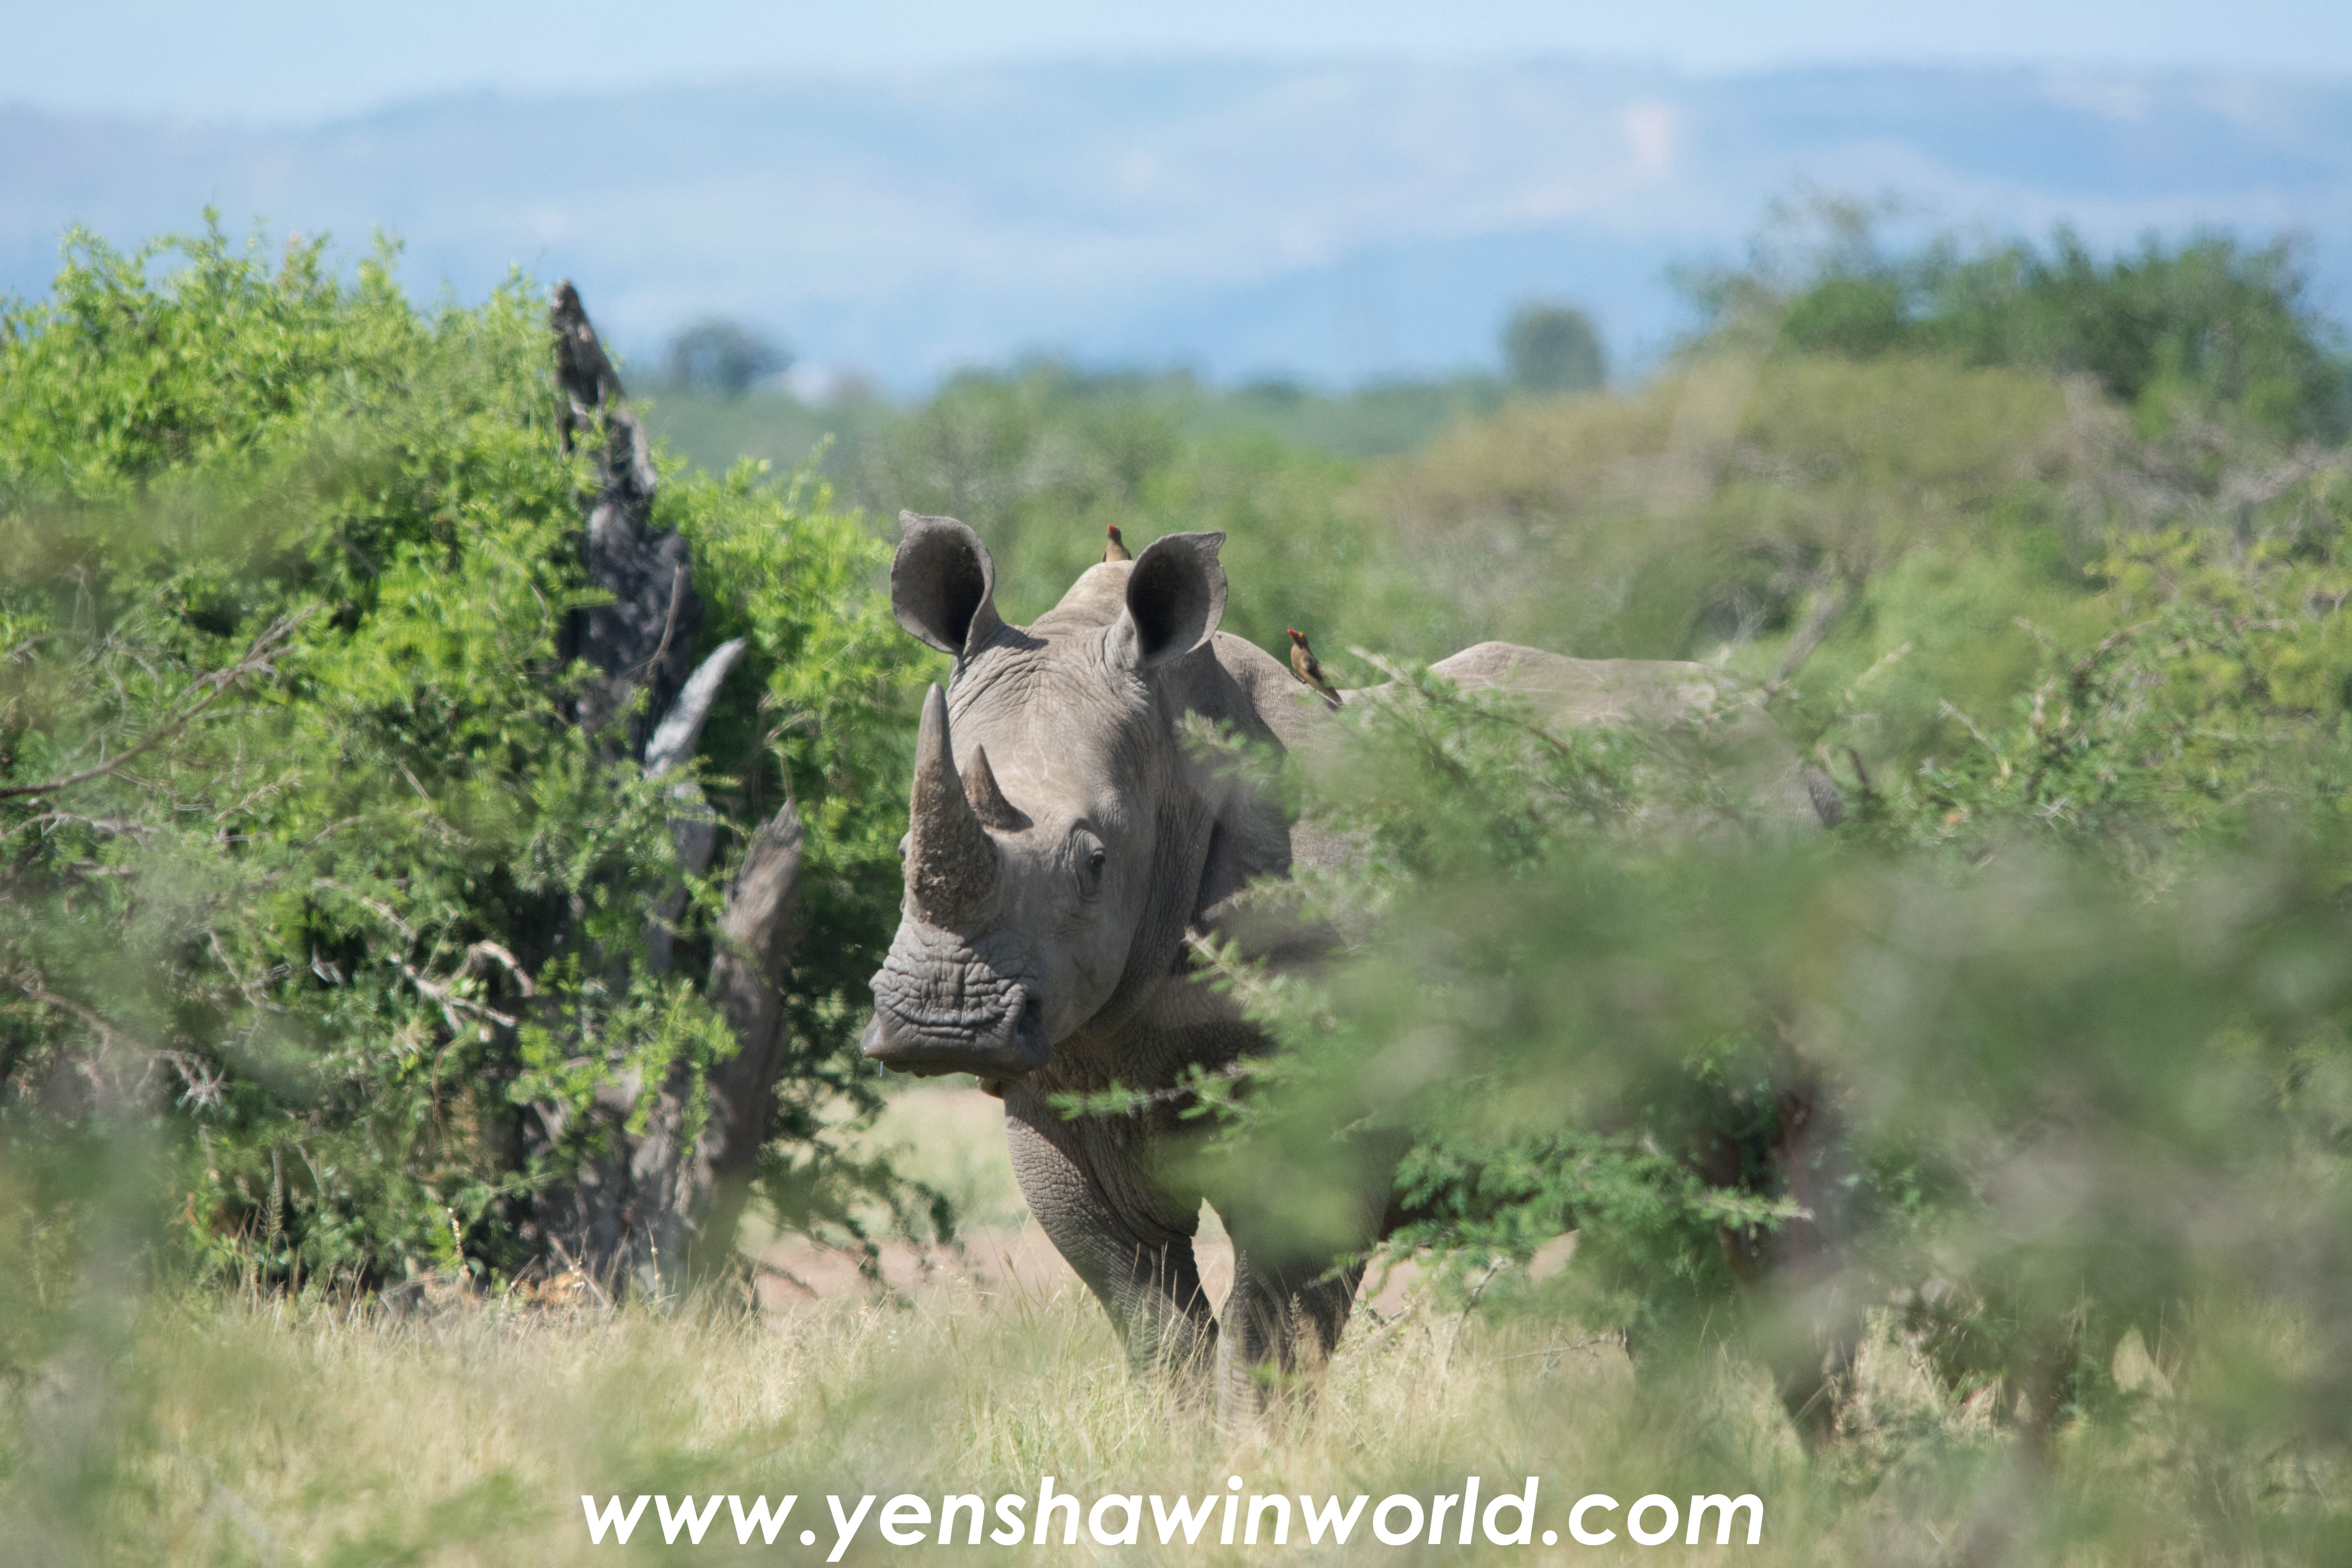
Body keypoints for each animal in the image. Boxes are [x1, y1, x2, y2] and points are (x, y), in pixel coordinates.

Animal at [861, 512, 1830, 1408]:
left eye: (1095, 862)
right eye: (902, 845)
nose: (943, 1021)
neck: (1177, 779)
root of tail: (1806, 769)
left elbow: (1271, 1335)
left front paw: (1257, 1464)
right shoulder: (1065, 1072)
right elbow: (1152, 1323)